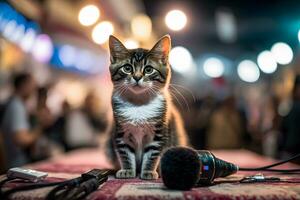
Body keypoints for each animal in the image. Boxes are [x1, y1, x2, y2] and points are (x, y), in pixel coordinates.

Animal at [108, 34, 188, 180]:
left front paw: (148, 171)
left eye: (149, 70)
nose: (137, 77)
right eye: (127, 68)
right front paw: (127, 170)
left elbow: (152, 154)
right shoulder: (121, 132)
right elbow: (125, 152)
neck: (138, 104)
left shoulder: (158, 133)